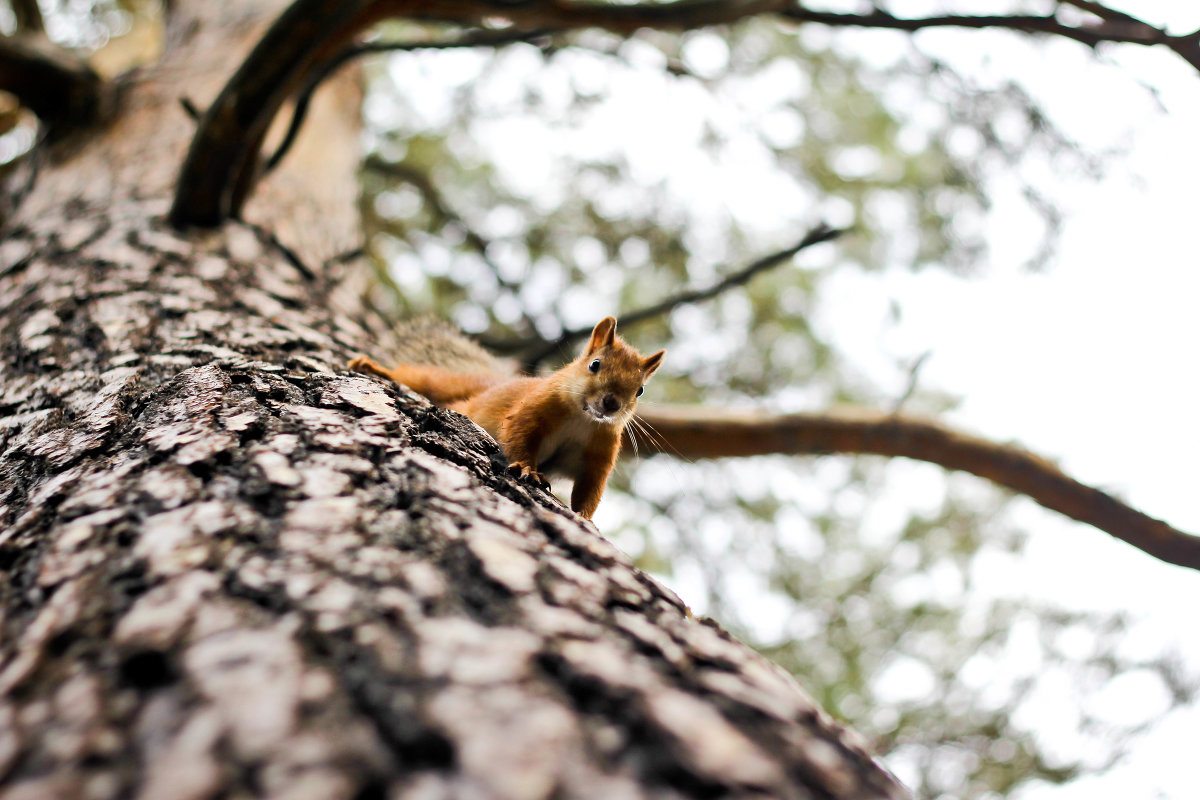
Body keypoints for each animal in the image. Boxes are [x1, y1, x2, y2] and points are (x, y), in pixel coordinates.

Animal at [348, 314, 667, 520]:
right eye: (595, 364)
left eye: (639, 390)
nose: (611, 403)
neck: (584, 418)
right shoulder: (532, 410)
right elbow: (520, 436)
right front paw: (528, 469)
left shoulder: (599, 451)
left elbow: (591, 487)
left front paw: (584, 518)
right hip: (439, 384)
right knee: (416, 377)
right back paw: (373, 367)